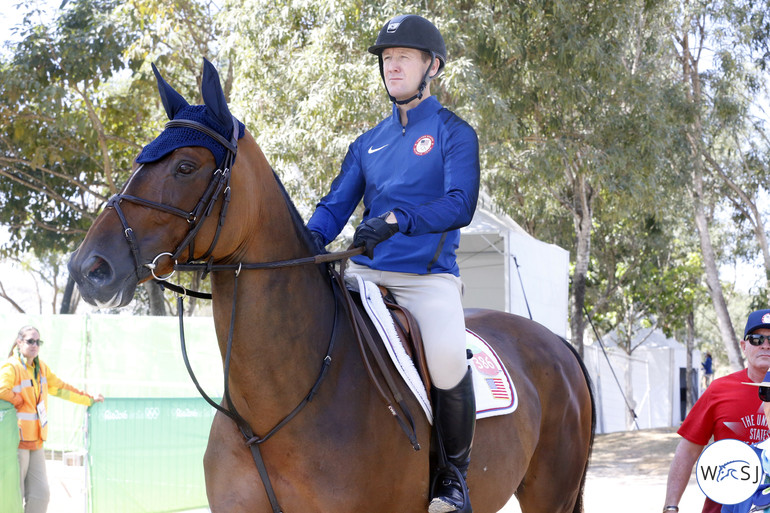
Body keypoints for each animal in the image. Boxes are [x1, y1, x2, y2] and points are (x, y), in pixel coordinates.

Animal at [67, 61, 592, 512]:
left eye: (185, 167)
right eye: (141, 162)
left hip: (551, 497)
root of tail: (558, 344)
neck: (272, 411)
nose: (88, 268)